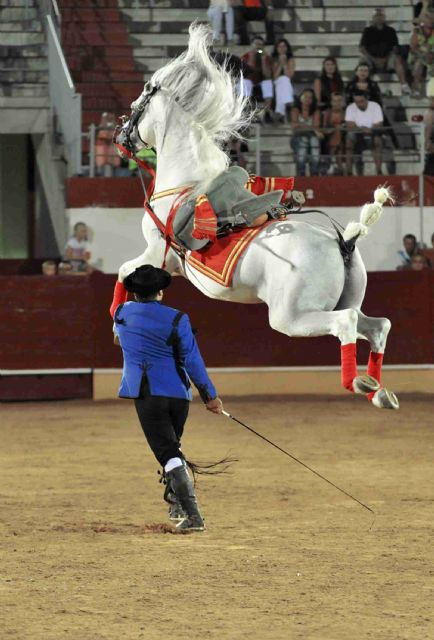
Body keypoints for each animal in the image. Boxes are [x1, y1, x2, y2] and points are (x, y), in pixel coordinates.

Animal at [116, 23, 400, 410]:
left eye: (136, 106)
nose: (121, 136)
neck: (185, 183)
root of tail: (344, 242)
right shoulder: (169, 264)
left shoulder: (158, 254)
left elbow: (124, 271)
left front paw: (116, 326)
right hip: (341, 303)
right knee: (376, 326)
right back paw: (377, 389)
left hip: (292, 317)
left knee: (346, 323)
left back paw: (356, 382)